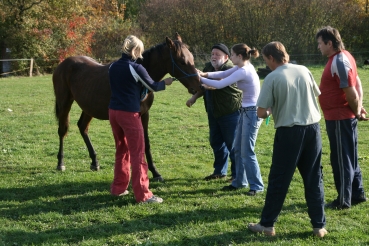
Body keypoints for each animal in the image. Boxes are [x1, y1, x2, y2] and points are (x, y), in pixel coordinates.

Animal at [52, 33, 200, 181]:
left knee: (82, 127)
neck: (140, 81)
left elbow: (146, 143)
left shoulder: (144, 115)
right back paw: (60, 163)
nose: (198, 86)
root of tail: (63, 64)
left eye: (192, 58)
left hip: (89, 107)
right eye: (182, 61)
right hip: (64, 103)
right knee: (62, 130)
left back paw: (94, 162)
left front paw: (155, 172)